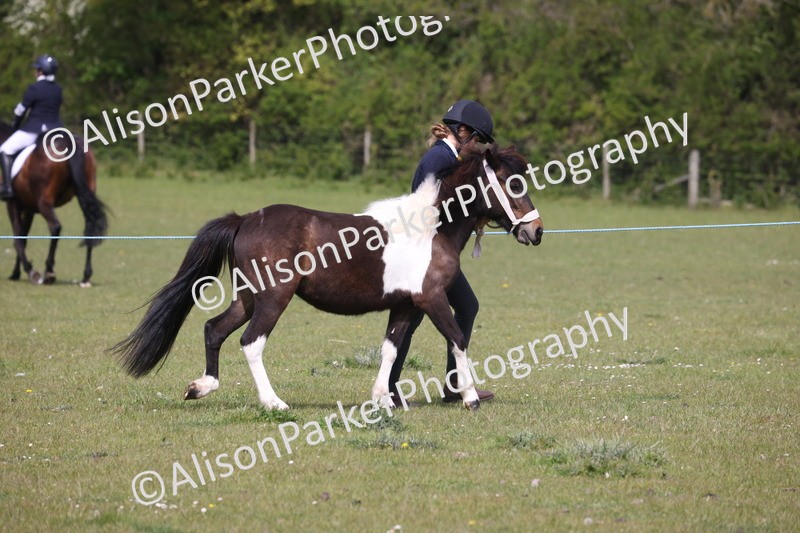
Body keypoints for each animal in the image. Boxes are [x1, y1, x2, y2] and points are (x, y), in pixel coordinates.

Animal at [0, 122, 107, 286]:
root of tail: (68, 142)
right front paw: (16, 273)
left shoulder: (13, 204)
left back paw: (49, 272)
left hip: (44, 202)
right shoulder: (29, 209)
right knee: (90, 227)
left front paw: (29, 271)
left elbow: (18, 238)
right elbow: (23, 237)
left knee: (55, 227)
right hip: (84, 194)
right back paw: (86, 276)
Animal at [112, 145, 543, 411]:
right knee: (251, 342)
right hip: (273, 299)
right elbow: (457, 339)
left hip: (248, 298)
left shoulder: (405, 305)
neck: (430, 227)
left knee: (213, 330)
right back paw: (274, 402)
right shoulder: (431, 298)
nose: (536, 231)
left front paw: (383, 399)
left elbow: (390, 350)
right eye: (512, 183)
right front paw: (470, 396)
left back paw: (201, 386)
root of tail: (246, 219)